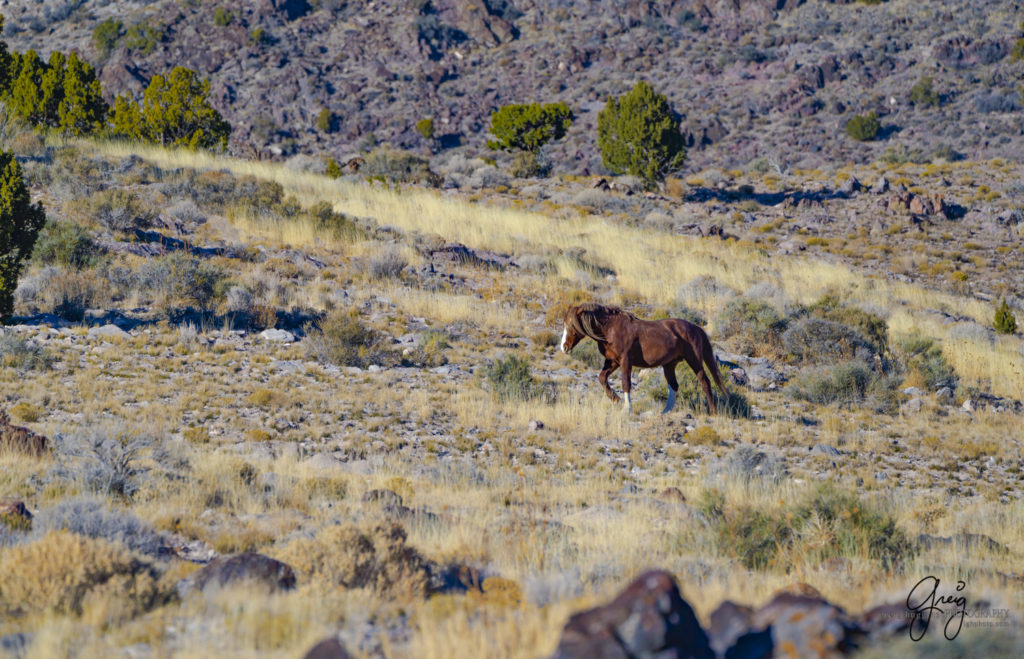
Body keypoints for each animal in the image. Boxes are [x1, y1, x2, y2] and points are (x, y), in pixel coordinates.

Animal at [561, 302, 729, 411]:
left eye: (571, 325)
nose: (564, 347)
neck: (611, 329)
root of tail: (695, 327)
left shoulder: (625, 361)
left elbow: (626, 383)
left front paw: (627, 408)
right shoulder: (613, 361)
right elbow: (602, 378)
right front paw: (615, 399)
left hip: (693, 359)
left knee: (705, 382)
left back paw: (713, 413)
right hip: (669, 364)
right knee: (674, 385)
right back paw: (665, 412)